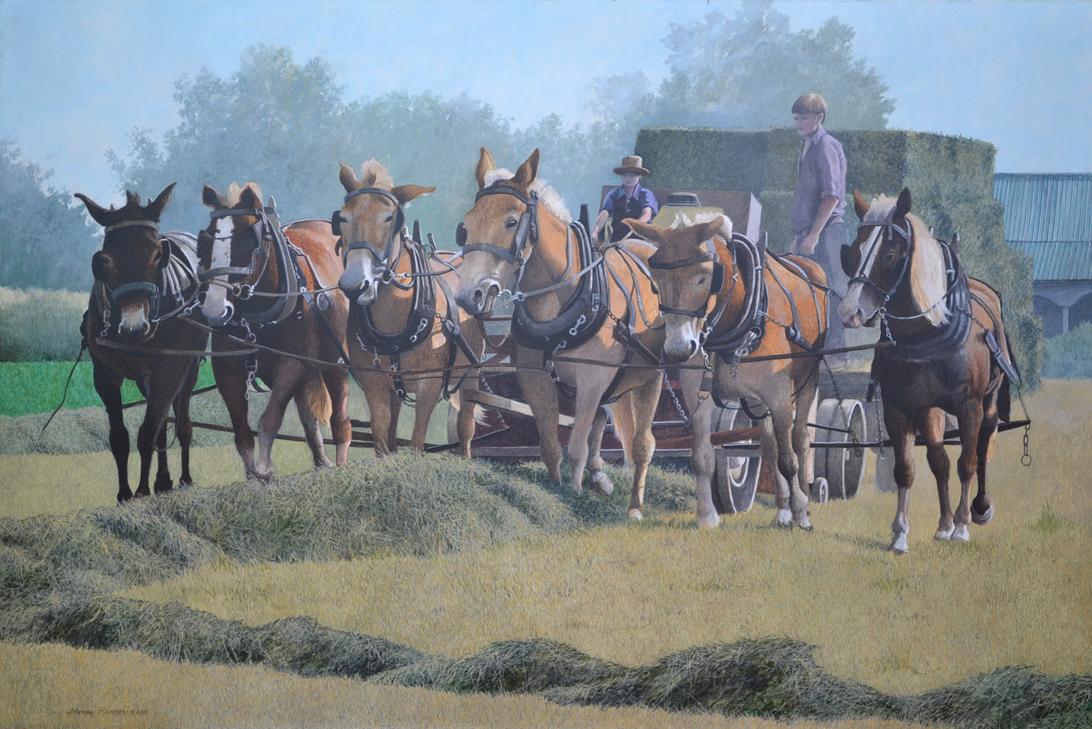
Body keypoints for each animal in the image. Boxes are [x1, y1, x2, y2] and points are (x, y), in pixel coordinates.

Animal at [76, 182, 206, 502]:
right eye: (104, 260)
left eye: (158, 255)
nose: (134, 327)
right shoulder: (105, 373)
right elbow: (120, 437)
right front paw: (125, 493)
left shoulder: (170, 367)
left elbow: (147, 432)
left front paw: (142, 490)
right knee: (162, 424)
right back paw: (163, 480)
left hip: (189, 365)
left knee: (181, 421)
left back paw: (182, 478)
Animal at [196, 182, 349, 480]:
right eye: (206, 242)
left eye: (246, 243)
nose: (215, 309)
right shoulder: (226, 370)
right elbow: (242, 431)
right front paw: (251, 474)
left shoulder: (292, 364)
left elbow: (271, 416)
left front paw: (265, 467)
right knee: (308, 415)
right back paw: (320, 461)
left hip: (334, 359)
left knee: (340, 413)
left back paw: (339, 461)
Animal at [331, 160, 487, 456]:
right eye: (342, 218)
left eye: (389, 218)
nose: (356, 284)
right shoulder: (375, 382)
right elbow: (381, 435)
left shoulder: (429, 384)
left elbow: (417, 442)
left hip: (470, 375)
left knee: (466, 427)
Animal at [633, 213, 825, 526]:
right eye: (656, 281)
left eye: (703, 277)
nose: (678, 347)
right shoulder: (698, 395)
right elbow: (702, 456)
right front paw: (707, 516)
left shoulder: (780, 397)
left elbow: (789, 460)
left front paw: (801, 510)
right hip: (756, 401)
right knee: (769, 446)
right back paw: (782, 509)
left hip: (808, 379)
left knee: (799, 442)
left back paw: (800, 504)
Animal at [838, 187, 1017, 552]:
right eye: (855, 251)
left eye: (890, 253)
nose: (850, 312)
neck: (926, 333)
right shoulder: (899, 408)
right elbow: (907, 469)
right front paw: (900, 533)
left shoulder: (969, 407)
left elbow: (968, 462)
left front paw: (962, 526)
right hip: (930, 409)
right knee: (939, 460)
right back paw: (943, 524)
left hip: (988, 402)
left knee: (980, 450)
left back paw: (976, 510)